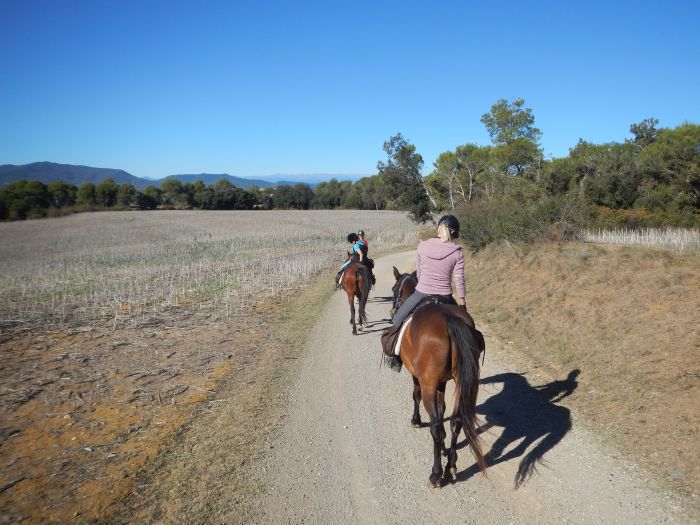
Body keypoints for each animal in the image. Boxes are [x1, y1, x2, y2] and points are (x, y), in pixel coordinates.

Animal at [400, 302, 486, 488]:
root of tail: (449, 319)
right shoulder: (442, 382)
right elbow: (442, 409)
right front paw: (444, 448)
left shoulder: (419, 377)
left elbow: (416, 395)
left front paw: (416, 420)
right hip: (460, 379)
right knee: (456, 421)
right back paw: (450, 466)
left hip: (428, 382)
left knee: (435, 427)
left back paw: (436, 474)